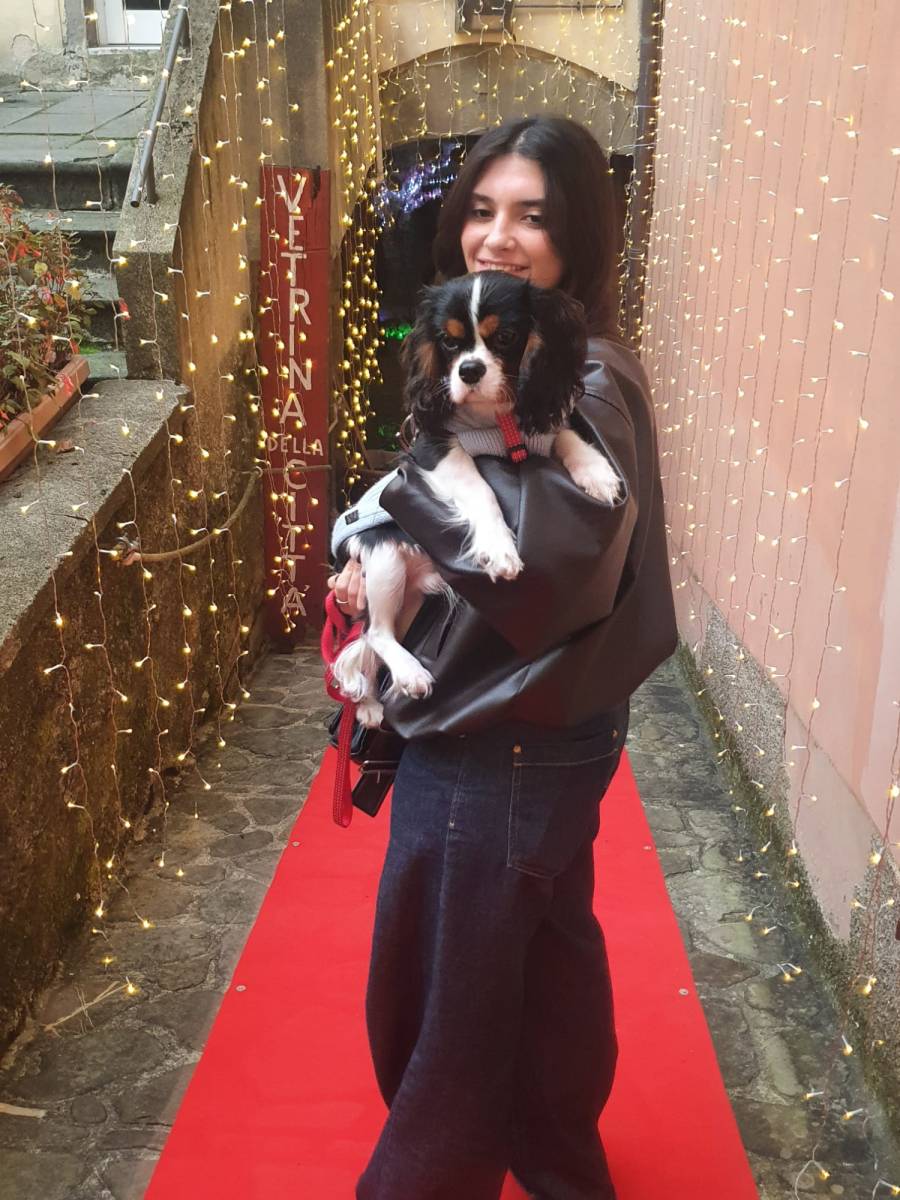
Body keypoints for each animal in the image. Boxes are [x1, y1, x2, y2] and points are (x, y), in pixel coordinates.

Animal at [330, 270, 622, 728]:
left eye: (505, 337)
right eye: (448, 343)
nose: (468, 370)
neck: (495, 421)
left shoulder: (542, 423)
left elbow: (565, 435)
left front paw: (596, 472)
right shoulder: (435, 447)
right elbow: (479, 488)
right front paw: (499, 550)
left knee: (372, 640)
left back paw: (372, 704)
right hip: (384, 555)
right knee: (375, 633)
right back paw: (407, 677)